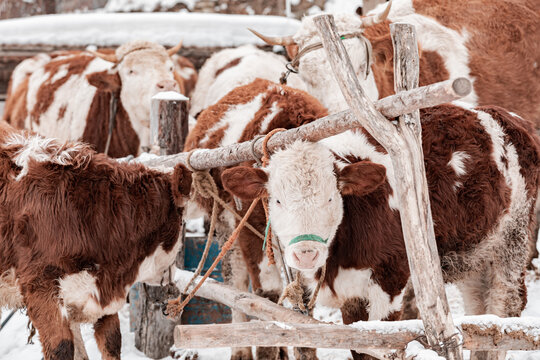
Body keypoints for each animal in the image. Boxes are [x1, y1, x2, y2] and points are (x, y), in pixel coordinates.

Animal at [186, 77, 326, 358]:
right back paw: (240, 350)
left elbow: (304, 302)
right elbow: (265, 298)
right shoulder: (251, 232)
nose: (307, 249)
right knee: (236, 283)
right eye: (278, 198)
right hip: (227, 225)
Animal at [220, 102, 540, 358]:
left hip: (511, 242)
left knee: (503, 309)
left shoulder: (389, 280)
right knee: (480, 312)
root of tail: (504, 115)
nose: (306, 254)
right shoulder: (346, 294)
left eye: (331, 198)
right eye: (277, 199)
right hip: (475, 252)